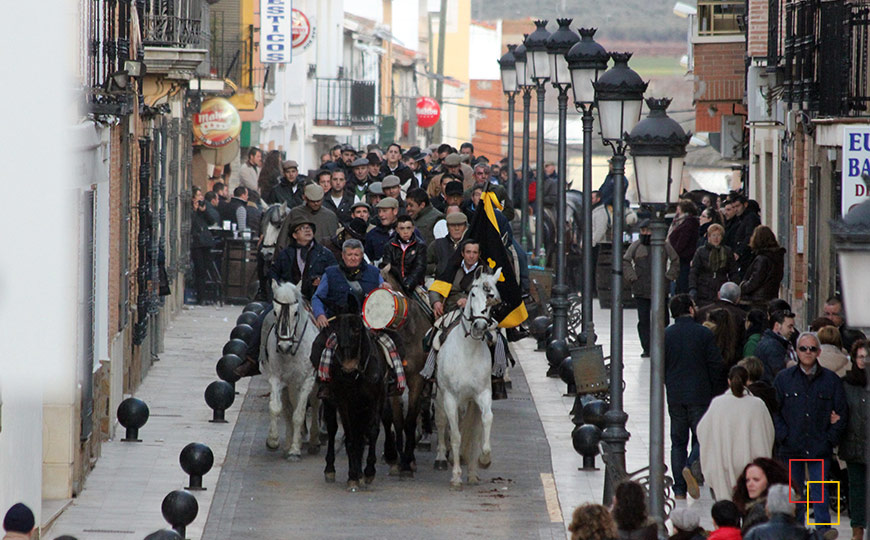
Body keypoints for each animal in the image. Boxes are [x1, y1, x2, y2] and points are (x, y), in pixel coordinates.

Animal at [266, 278, 324, 460]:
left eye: (296, 313)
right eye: (275, 312)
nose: (284, 346)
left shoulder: (307, 381)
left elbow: (299, 414)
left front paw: (295, 449)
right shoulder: (276, 378)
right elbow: (276, 408)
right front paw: (273, 441)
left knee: (315, 404)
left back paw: (313, 440)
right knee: (288, 407)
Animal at [322, 314, 386, 492]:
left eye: (357, 330)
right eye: (336, 330)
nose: (348, 367)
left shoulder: (375, 401)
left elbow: (372, 432)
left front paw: (368, 472)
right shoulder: (344, 402)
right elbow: (350, 436)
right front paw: (352, 476)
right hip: (331, 403)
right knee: (332, 429)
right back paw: (330, 469)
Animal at [436, 266, 504, 490]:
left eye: (492, 297)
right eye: (473, 294)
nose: (480, 326)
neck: (467, 350)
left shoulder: (482, 395)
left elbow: (484, 422)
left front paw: (482, 460)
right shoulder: (450, 397)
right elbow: (456, 435)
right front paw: (456, 476)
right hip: (440, 396)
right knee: (442, 423)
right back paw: (441, 457)